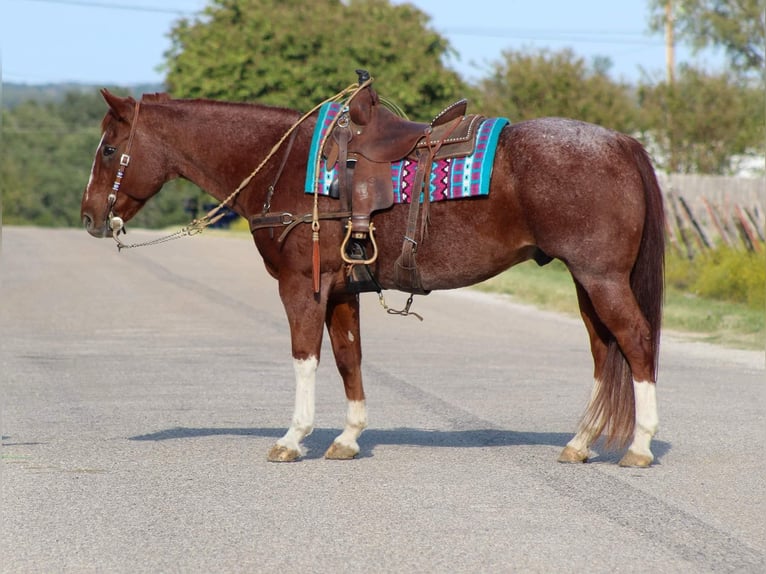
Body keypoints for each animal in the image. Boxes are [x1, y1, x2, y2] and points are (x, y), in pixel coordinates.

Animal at [80, 81, 665, 467]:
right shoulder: (342, 291)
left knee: (635, 341)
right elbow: (348, 358)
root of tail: (621, 143)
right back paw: (580, 442)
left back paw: (639, 445)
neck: (287, 166)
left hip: (601, 277)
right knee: (604, 350)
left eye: (109, 148)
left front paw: (293, 438)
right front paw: (348, 437)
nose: (88, 217)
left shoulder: (303, 286)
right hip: (586, 281)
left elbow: (305, 356)